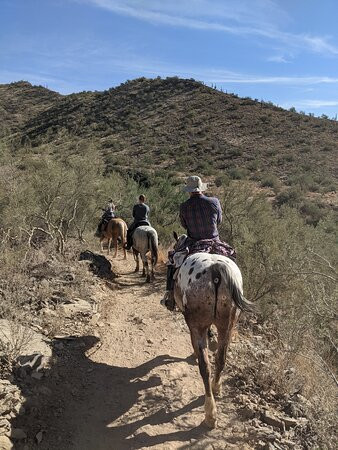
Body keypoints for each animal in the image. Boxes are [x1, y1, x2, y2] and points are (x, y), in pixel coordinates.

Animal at [174, 239, 251, 426]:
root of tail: (215, 269)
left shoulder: (193, 325)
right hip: (227, 325)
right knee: (221, 359)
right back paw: (217, 388)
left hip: (197, 325)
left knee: (205, 366)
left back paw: (210, 412)